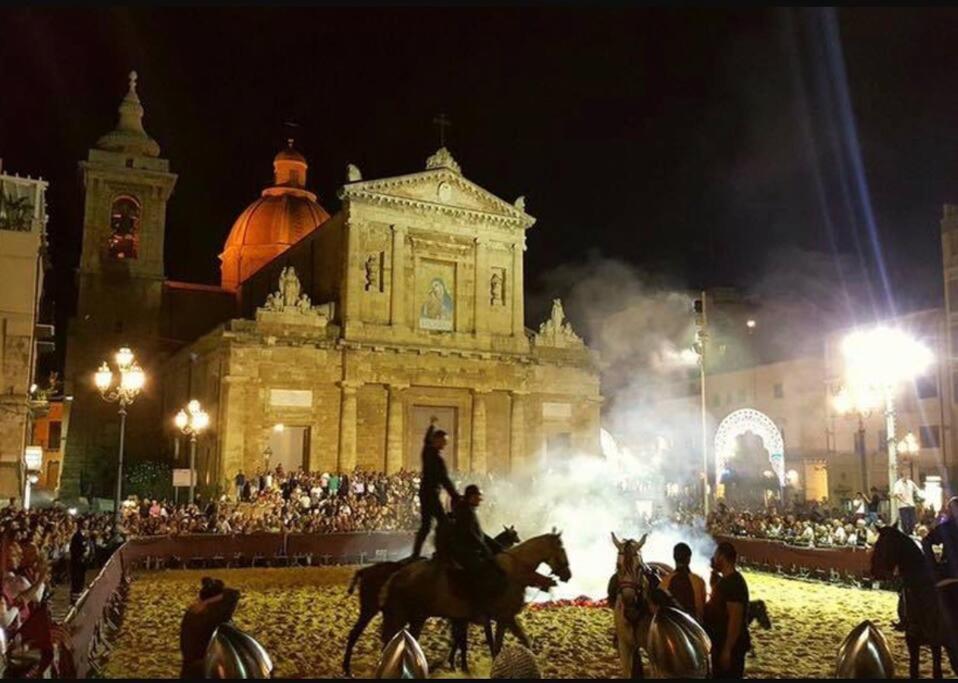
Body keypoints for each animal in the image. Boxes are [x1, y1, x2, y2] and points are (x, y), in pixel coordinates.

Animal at [344, 528, 520, 676]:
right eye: (513, 534)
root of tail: (365, 570)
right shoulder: (465, 618)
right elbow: (465, 640)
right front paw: (462, 666)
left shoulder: (458, 618)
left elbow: (458, 639)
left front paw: (454, 663)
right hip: (375, 611)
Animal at [378, 532, 572, 660]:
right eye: (562, 550)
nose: (567, 575)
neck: (513, 572)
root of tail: (399, 573)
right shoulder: (505, 618)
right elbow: (506, 644)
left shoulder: (504, 619)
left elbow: (513, 643)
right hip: (404, 616)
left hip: (417, 618)